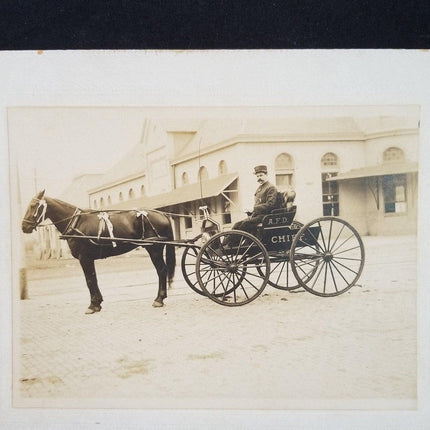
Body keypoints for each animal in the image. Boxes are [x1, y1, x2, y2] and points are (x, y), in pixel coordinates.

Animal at [21, 190, 176, 314]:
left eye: (33, 206)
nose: (24, 226)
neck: (77, 222)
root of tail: (163, 214)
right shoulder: (88, 259)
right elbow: (93, 278)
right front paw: (97, 303)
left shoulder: (84, 258)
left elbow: (89, 280)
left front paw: (92, 305)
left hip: (154, 249)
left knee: (162, 270)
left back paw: (159, 299)